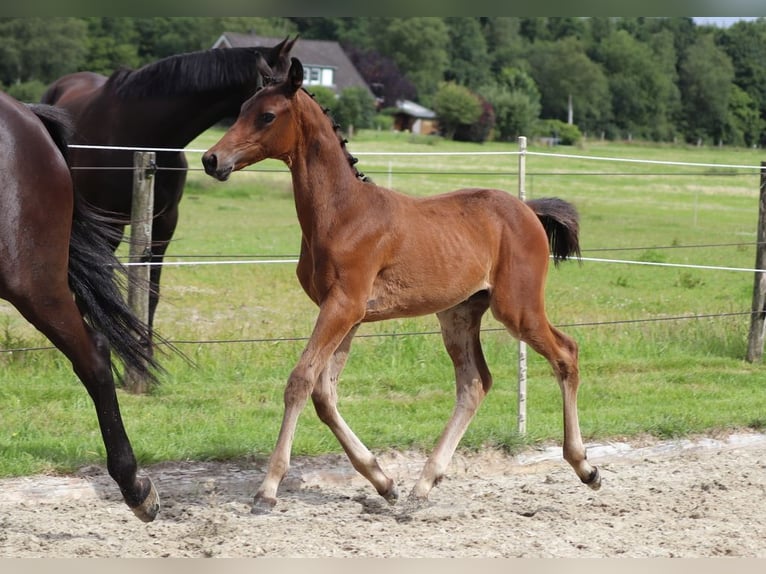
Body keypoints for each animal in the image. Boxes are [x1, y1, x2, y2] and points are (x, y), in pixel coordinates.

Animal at [202, 59, 600, 516]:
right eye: (242, 108)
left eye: (267, 115)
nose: (211, 159)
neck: (342, 214)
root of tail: (528, 210)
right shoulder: (346, 314)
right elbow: (324, 394)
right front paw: (383, 481)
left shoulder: (343, 306)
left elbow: (300, 381)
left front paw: (267, 489)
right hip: (458, 313)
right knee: (474, 382)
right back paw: (423, 484)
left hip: (518, 308)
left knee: (566, 354)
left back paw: (585, 467)